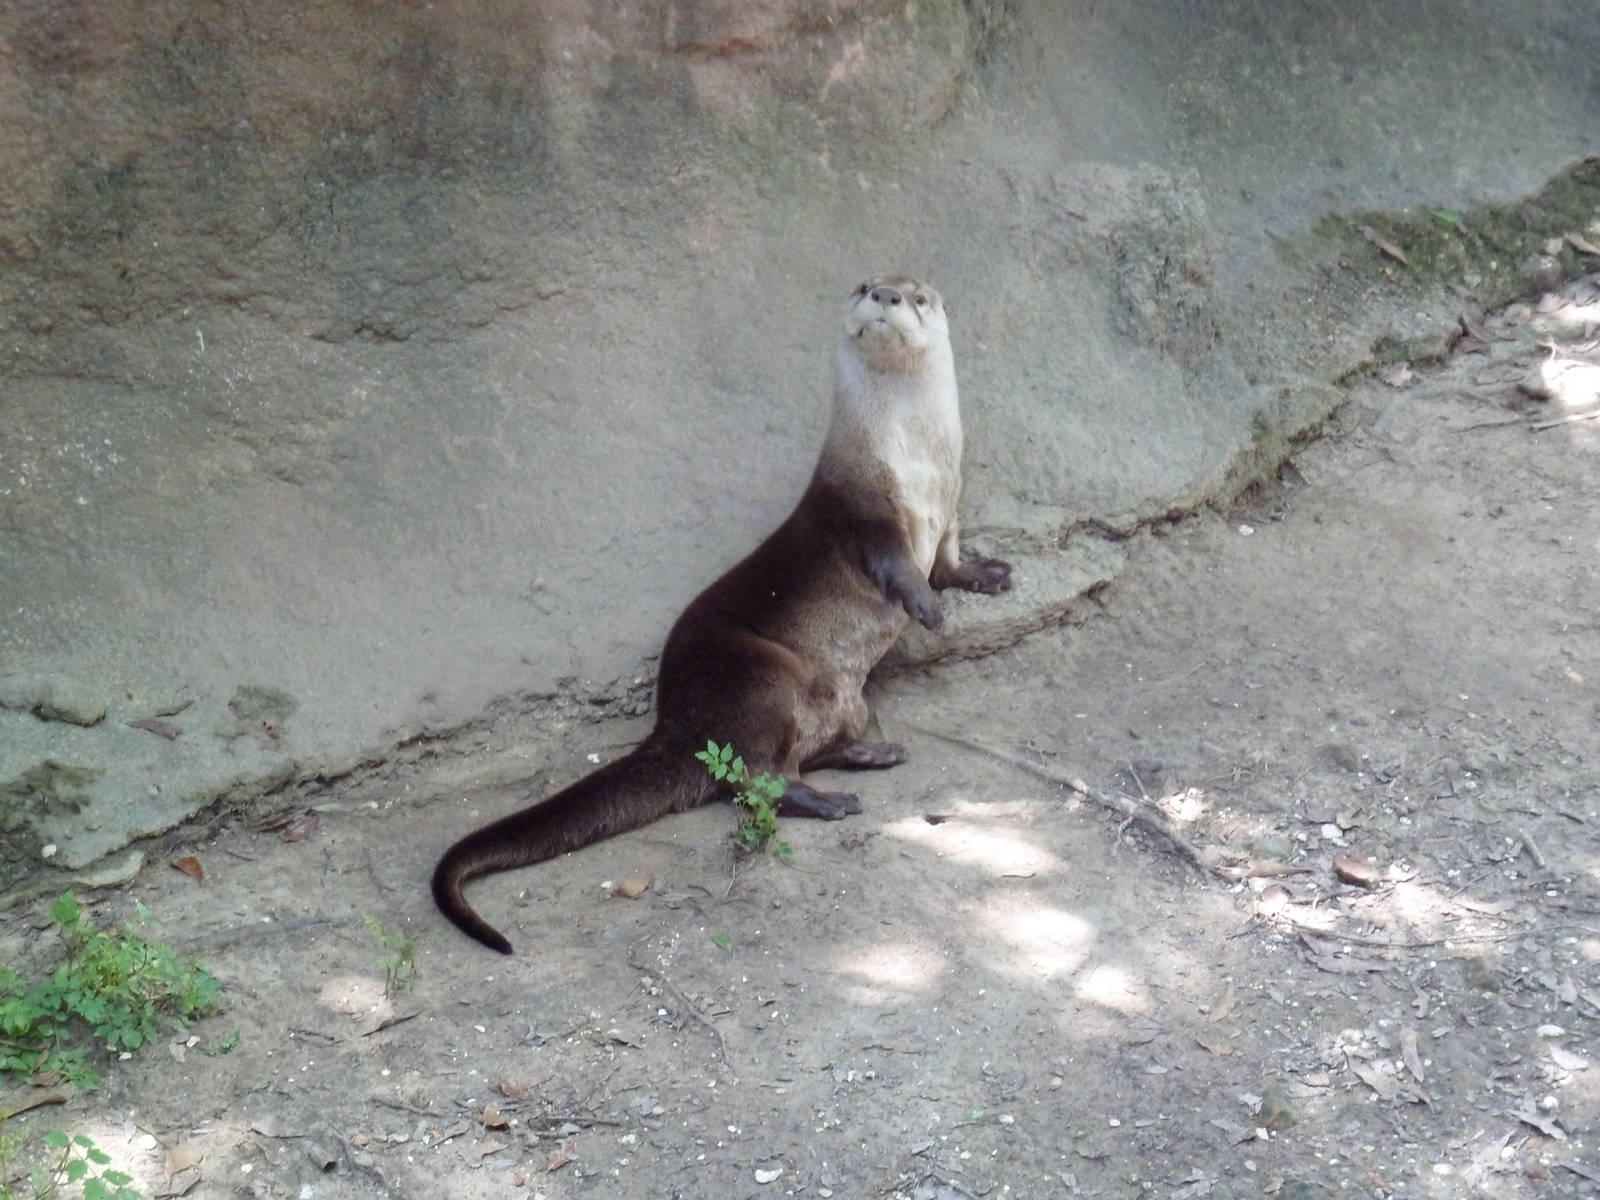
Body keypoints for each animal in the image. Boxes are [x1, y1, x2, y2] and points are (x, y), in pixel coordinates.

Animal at [432, 275, 1011, 953]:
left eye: (918, 297)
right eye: (866, 286)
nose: (887, 296)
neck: (918, 464)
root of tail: (679, 721)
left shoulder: (949, 507)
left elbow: (947, 557)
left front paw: (984, 576)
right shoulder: (863, 511)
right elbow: (898, 563)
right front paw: (926, 606)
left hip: (845, 701)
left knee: (803, 753)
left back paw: (873, 755)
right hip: (758, 675)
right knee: (755, 778)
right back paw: (828, 802)